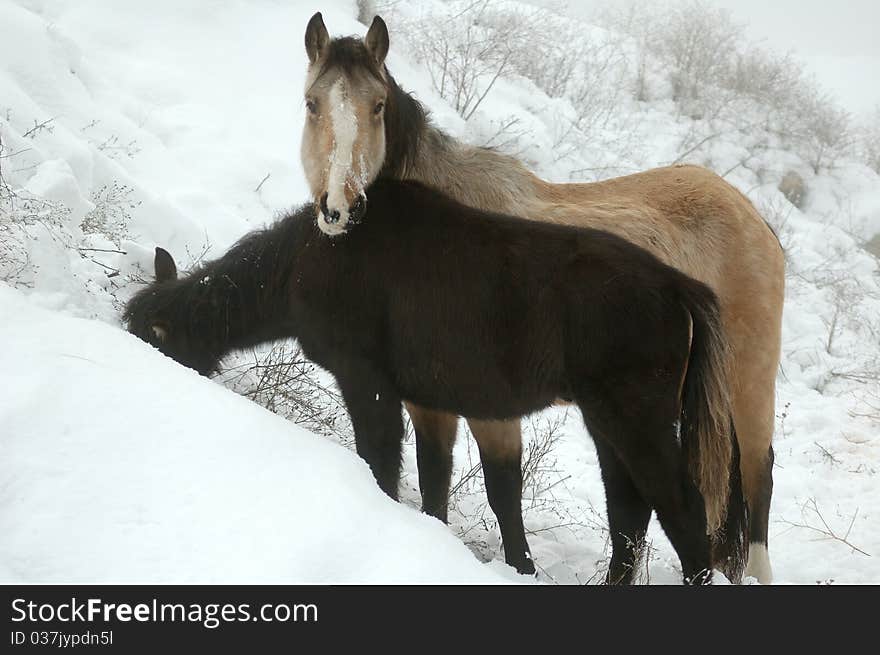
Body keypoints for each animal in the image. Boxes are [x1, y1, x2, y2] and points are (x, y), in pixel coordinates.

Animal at [122, 178, 744, 584]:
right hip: (607, 420)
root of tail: (680, 288)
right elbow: (434, 483)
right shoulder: (430, 401)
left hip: (635, 417)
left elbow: (380, 462)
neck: (296, 266)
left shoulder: (366, 377)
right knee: (630, 515)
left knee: (682, 512)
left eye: (150, 335)